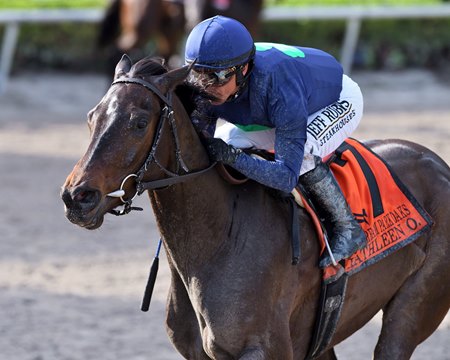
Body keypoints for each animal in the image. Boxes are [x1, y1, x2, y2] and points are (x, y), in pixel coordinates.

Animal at [61, 54, 450, 358]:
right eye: (92, 116)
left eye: (139, 123)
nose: (77, 197)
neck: (221, 238)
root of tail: (437, 163)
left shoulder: (267, 348)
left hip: (411, 312)